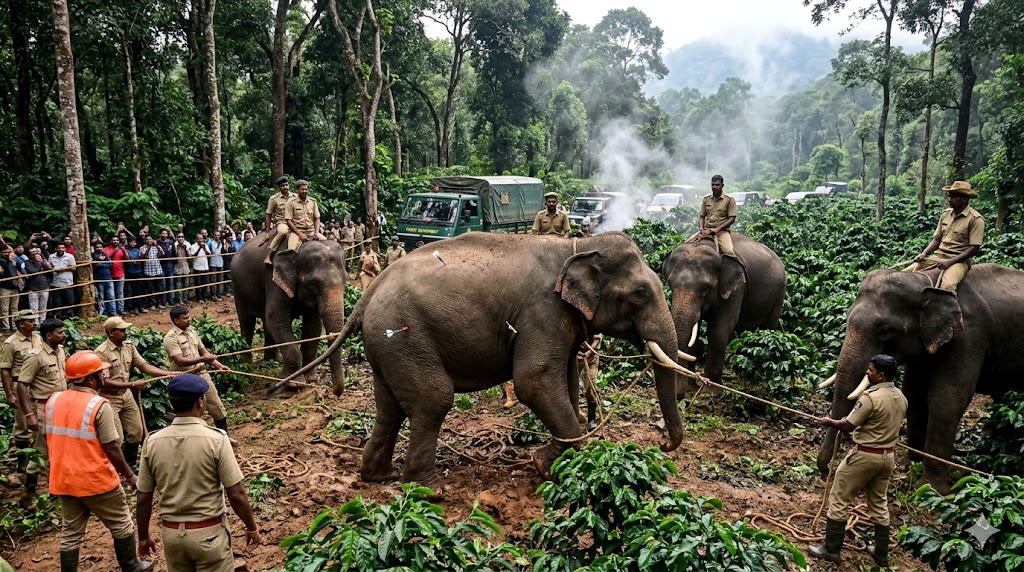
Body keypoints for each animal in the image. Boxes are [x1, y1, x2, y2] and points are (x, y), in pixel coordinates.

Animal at [231, 237, 348, 395]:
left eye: (345, 280)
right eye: (314, 283)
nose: (335, 391)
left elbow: (313, 325)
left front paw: (310, 379)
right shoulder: (273, 279)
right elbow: (276, 318)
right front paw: (294, 384)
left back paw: (273, 361)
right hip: (238, 290)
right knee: (247, 323)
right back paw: (247, 364)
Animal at [285, 232, 687, 491]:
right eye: (640, 294)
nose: (663, 447)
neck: (578, 244)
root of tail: (369, 291)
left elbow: (567, 378)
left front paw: (554, 462)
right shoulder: (542, 312)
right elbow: (534, 380)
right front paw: (546, 466)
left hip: (388, 346)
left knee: (390, 408)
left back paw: (378, 477)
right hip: (406, 337)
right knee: (433, 400)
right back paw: (428, 491)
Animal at [661, 233, 786, 393]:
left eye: (705, 287)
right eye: (670, 284)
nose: (681, 394)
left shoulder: (736, 287)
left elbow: (719, 329)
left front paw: (710, 391)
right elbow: (695, 334)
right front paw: (692, 388)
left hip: (779, 293)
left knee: (768, 328)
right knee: (745, 332)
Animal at [817, 265, 1024, 494]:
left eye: (885, 330)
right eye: (847, 318)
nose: (825, 470)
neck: (928, 282)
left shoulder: (969, 337)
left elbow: (947, 400)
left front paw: (930, 488)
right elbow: (913, 394)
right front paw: (908, 465)